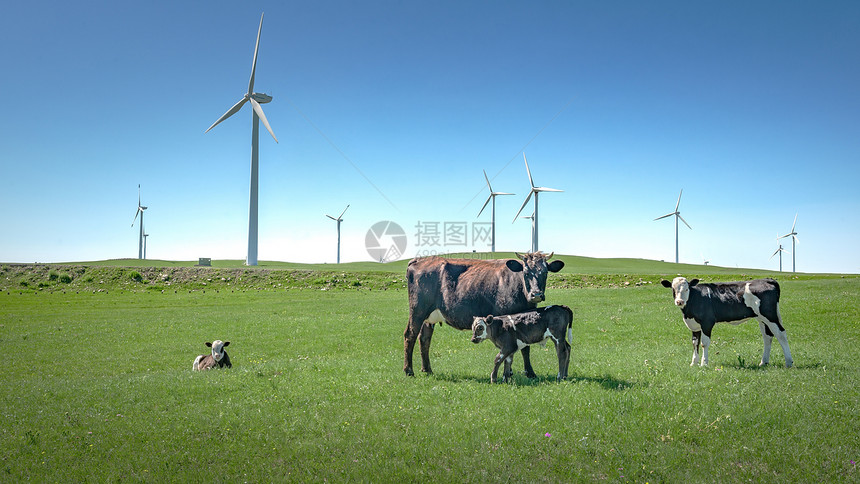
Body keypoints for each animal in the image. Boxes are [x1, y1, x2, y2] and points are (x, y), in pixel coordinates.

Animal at [404, 253, 564, 378]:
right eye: (525, 273)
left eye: (545, 272)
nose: (536, 294)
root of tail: (419, 260)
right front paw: (516, 372)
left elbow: (525, 348)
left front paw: (527, 372)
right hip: (417, 311)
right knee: (410, 335)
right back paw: (409, 371)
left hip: (429, 317)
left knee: (424, 338)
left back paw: (427, 370)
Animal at [660, 276, 796, 366]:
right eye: (673, 289)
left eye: (687, 289)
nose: (679, 301)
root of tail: (767, 279)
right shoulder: (694, 326)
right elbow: (695, 343)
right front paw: (693, 363)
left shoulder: (707, 322)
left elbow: (704, 343)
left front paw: (704, 364)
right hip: (761, 318)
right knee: (767, 337)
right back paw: (763, 362)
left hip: (770, 316)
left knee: (781, 334)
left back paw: (788, 362)